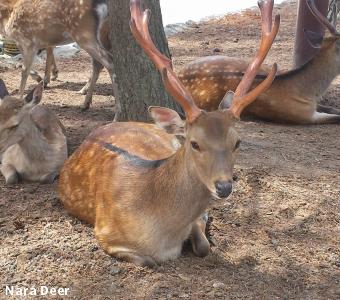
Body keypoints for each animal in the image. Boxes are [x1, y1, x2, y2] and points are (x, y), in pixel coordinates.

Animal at [57, 0, 278, 268]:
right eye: (194, 143)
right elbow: (148, 261)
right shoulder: (106, 234)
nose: (224, 187)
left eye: (237, 142)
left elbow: (203, 245)